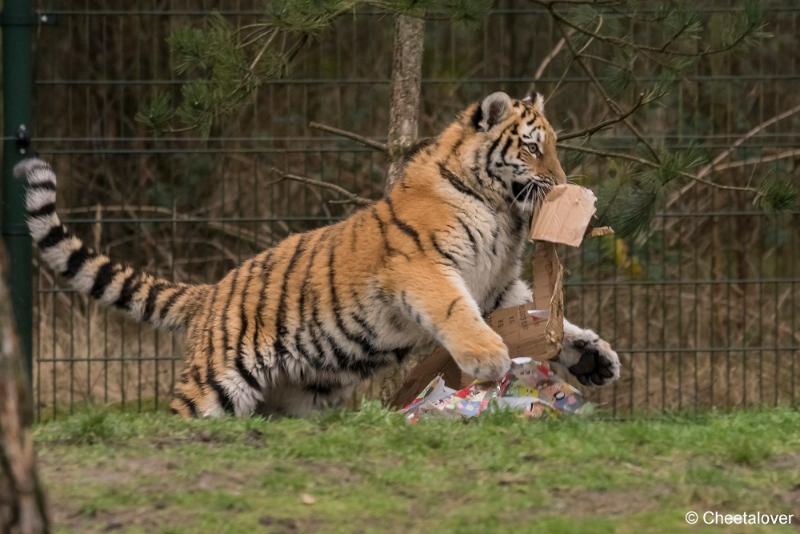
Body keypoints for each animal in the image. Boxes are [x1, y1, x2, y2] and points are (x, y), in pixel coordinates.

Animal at [17, 91, 620, 418]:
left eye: (554, 145)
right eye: (533, 147)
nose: (563, 183)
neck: (500, 210)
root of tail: (210, 293)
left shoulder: (499, 286)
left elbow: (554, 325)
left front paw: (594, 357)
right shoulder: (426, 268)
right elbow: (458, 313)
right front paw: (488, 357)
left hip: (301, 391)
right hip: (216, 381)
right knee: (183, 414)